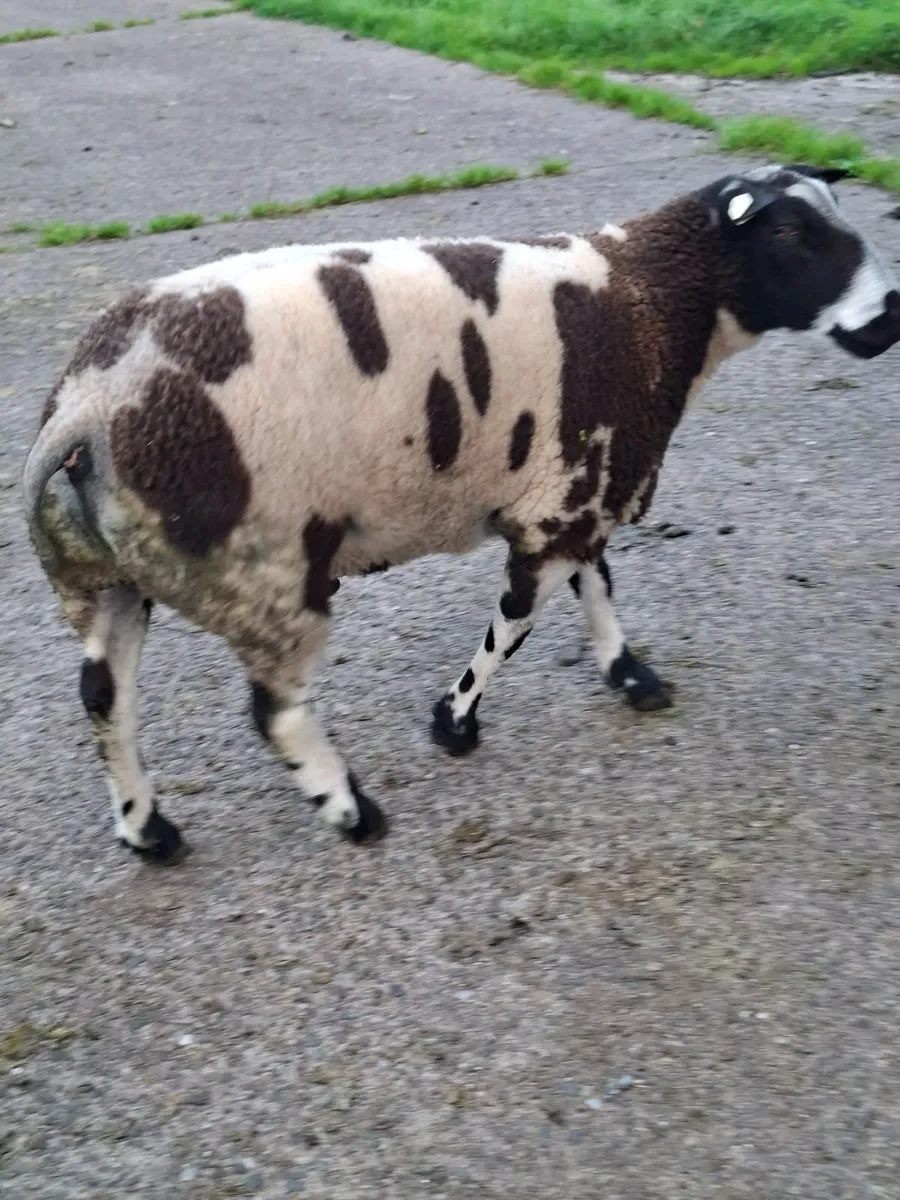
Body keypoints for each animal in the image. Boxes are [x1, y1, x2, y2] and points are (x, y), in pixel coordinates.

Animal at [23, 161, 900, 865]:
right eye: (789, 232)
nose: (890, 313)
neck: (649, 298)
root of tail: (89, 404)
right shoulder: (565, 496)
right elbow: (516, 624)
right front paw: (454, 721)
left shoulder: (579, 485)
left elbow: (596, 583)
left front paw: (627, 673)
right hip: (264, 571)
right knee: (275, 712)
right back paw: (349, 809)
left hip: (110, 574)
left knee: (105, 697)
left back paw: (148, 830)